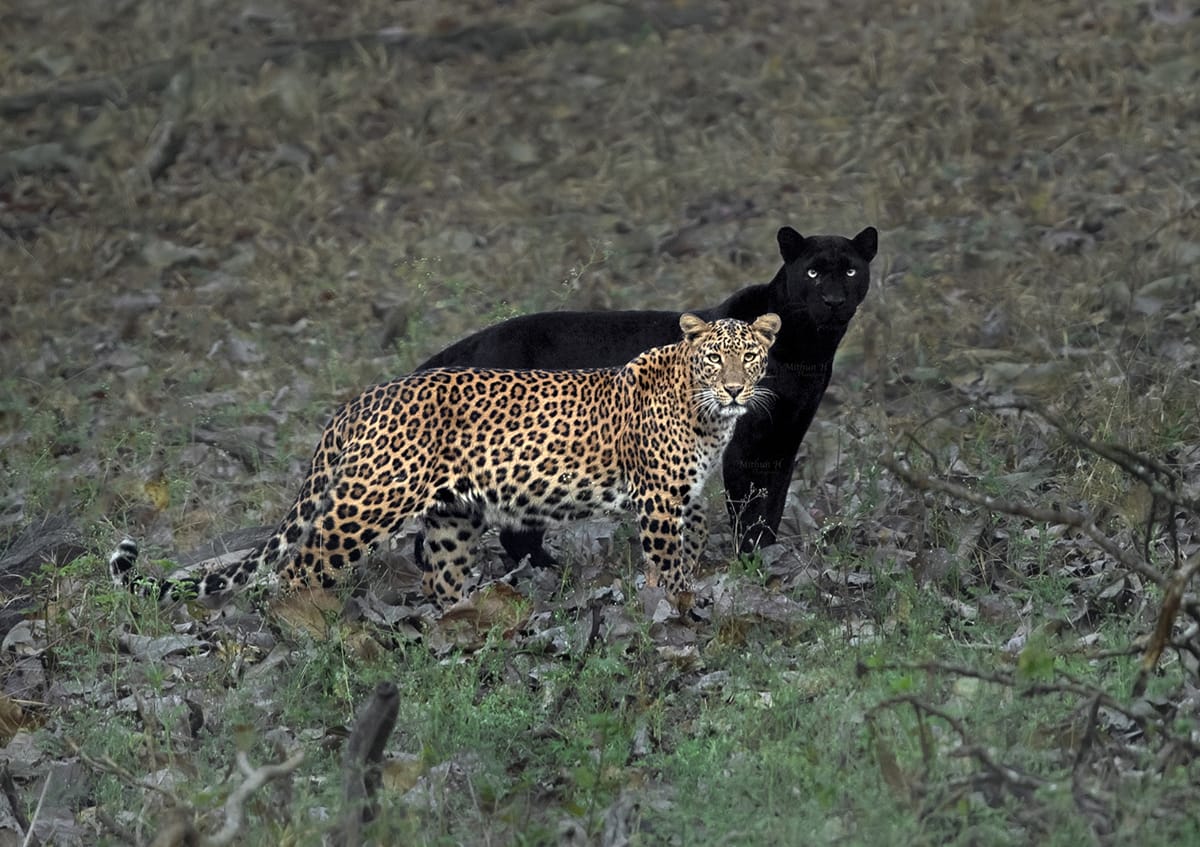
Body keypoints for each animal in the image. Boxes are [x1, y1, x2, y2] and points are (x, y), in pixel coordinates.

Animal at [108, 309, 782, 607]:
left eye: (750, 358)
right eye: (715, 358)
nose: (735, 390)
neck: (707, 414)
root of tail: (359, 401)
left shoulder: (687, 497)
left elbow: (690, 550)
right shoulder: (661, 498)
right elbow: (665, 564)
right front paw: (670, 611)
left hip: (453, 516)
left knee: (441, 576)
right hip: (368, 502)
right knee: (299, 567)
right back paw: (311, 627)